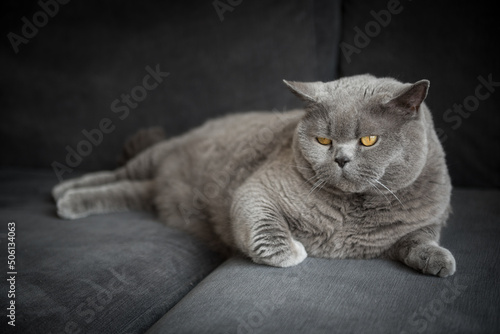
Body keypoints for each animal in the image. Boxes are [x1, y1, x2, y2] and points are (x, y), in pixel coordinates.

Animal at [52, 74, 456, 278]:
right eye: (323, 140)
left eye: (368, 139)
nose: (340, 159)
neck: (353, 212)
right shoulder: (258, 188)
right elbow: (264, 225)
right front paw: (292, 251)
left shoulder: (427, 221)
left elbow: (419, 240)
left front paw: (439, 261)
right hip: (157, 155)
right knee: (118, 172)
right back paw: (63, 192)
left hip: (152, 190)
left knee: (126, 190)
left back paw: (71, 200)